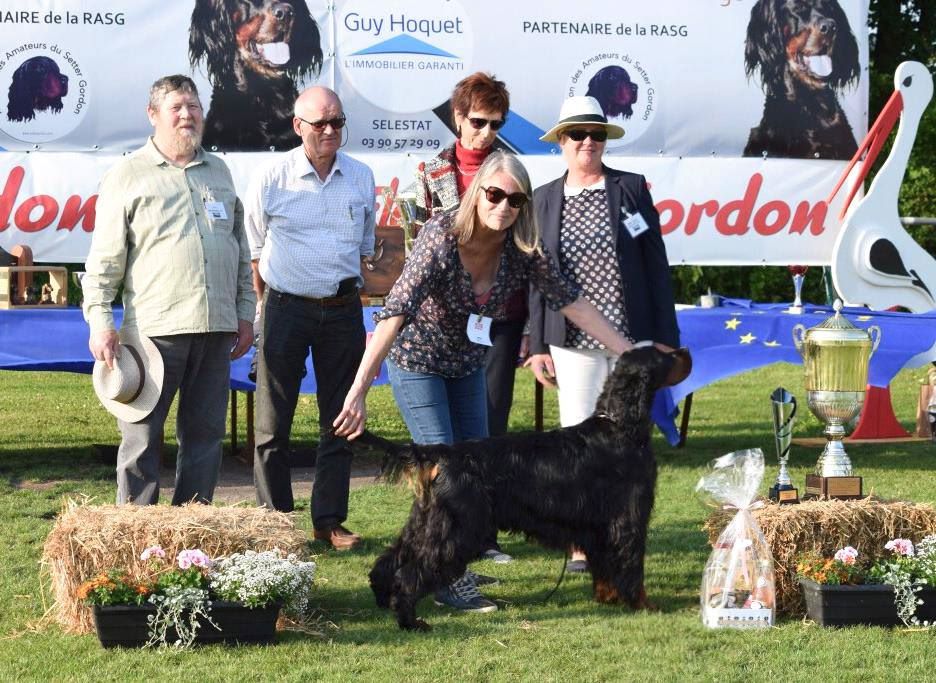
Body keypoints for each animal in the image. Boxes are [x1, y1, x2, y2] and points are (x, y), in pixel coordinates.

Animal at [356, 344, 688, 632]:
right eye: (665, 356)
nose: (685, 350)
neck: (620, 426)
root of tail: (442, 454)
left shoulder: (599, 527)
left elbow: (606, 568)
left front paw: (608, 598)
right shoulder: (628, 520)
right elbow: (632, 566)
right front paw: (644, 604)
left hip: (428, 522)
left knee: (389, 561)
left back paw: (383, 599)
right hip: (459, 530)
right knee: (410, 574)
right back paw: (410, 621)